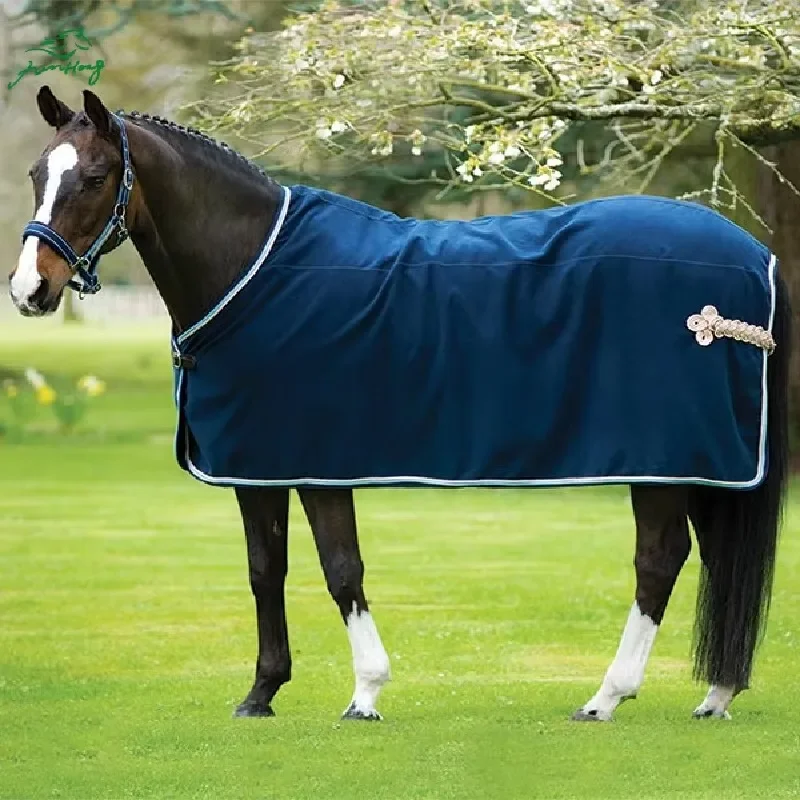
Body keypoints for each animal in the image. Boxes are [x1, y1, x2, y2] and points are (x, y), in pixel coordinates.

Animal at [9, 86, 791, 723]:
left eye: (96, 177)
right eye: (38, 175)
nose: (29, 291)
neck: (254, 268)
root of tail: (755, 255)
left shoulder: (315, 462)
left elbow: (340, 569)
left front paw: (365, 693)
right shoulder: (259, 465)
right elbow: (267, 571)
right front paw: (262, 693)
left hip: (664, 462)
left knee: (659, 562)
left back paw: (606, 697)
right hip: (702, 462)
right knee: (714, 558)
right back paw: (716, 693)